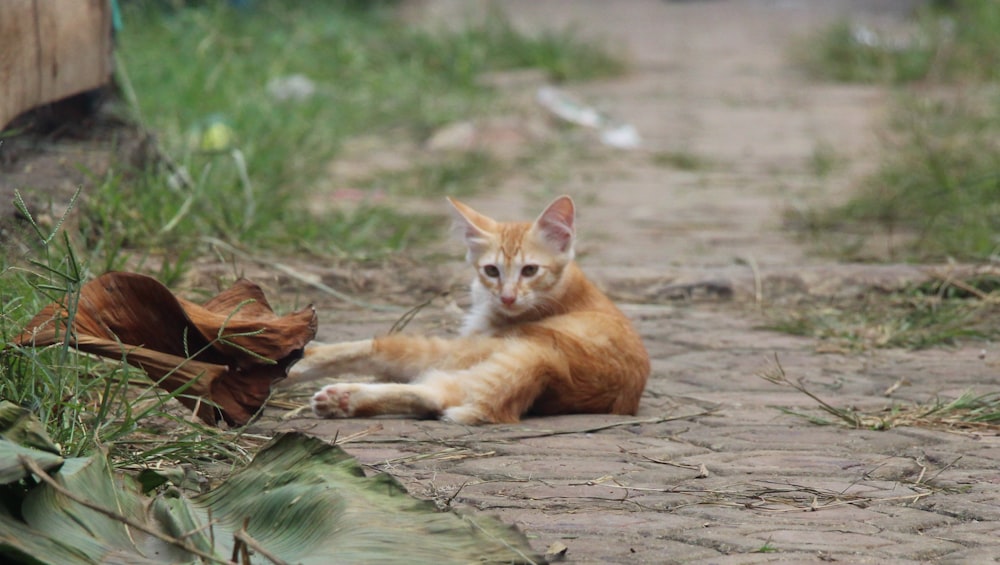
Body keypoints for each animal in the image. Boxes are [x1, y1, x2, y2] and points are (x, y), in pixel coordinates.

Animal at [290, 195, 648, 424]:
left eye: (530, 270)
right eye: (491, 271)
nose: (507, 297)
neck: (565, 290)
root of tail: (551, 368)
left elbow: (366, 347)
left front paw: (298, 358)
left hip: (469, 350)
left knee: (398, 361)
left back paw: (333, 390)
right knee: (438, 395)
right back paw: (343, 402)